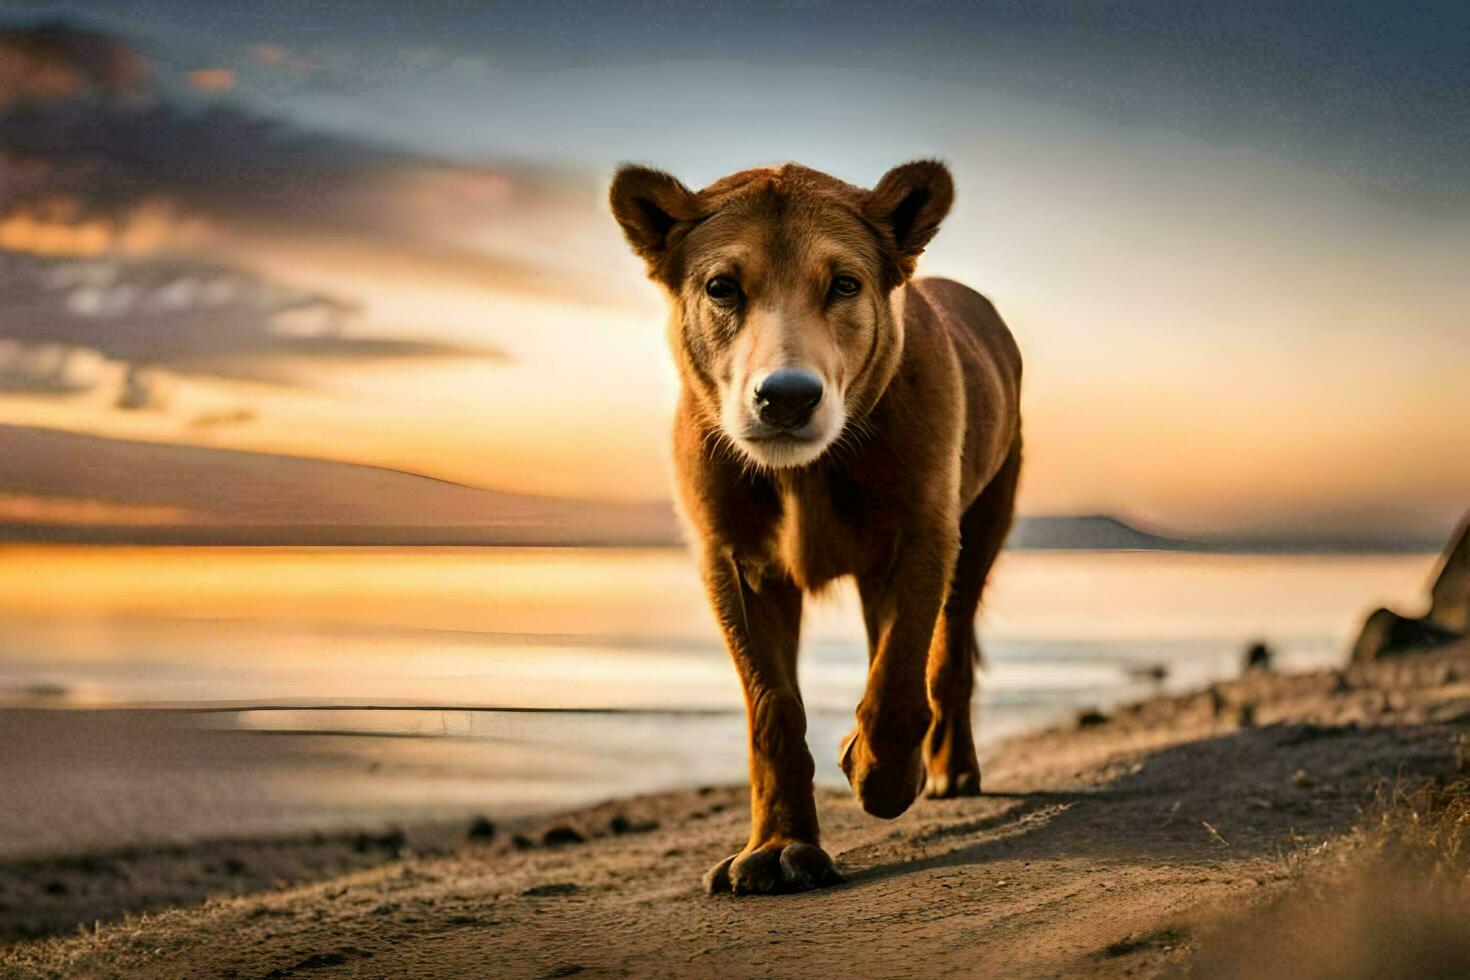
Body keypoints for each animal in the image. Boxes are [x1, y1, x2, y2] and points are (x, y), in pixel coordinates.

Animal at [608, 159, 1023, 899]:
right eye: (721, 287)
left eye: (845, 285)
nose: (787, 397)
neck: (804, 473)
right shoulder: (734, 561)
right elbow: (772, 710)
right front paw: (779, 847)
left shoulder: (923, 536)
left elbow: (899, 683)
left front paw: (880, 772)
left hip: (981, 528)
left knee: (947, 658)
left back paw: (950, 769)